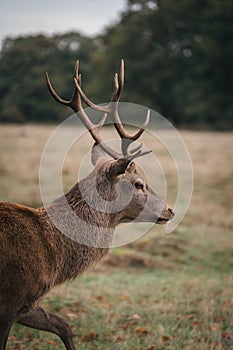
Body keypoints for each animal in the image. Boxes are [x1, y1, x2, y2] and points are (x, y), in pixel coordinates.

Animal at [0, 58, 174, 348]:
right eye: (139, 183)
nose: (170, 209)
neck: (53, 257)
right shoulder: (11, 300)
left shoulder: (27, 304)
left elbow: (64, 325)